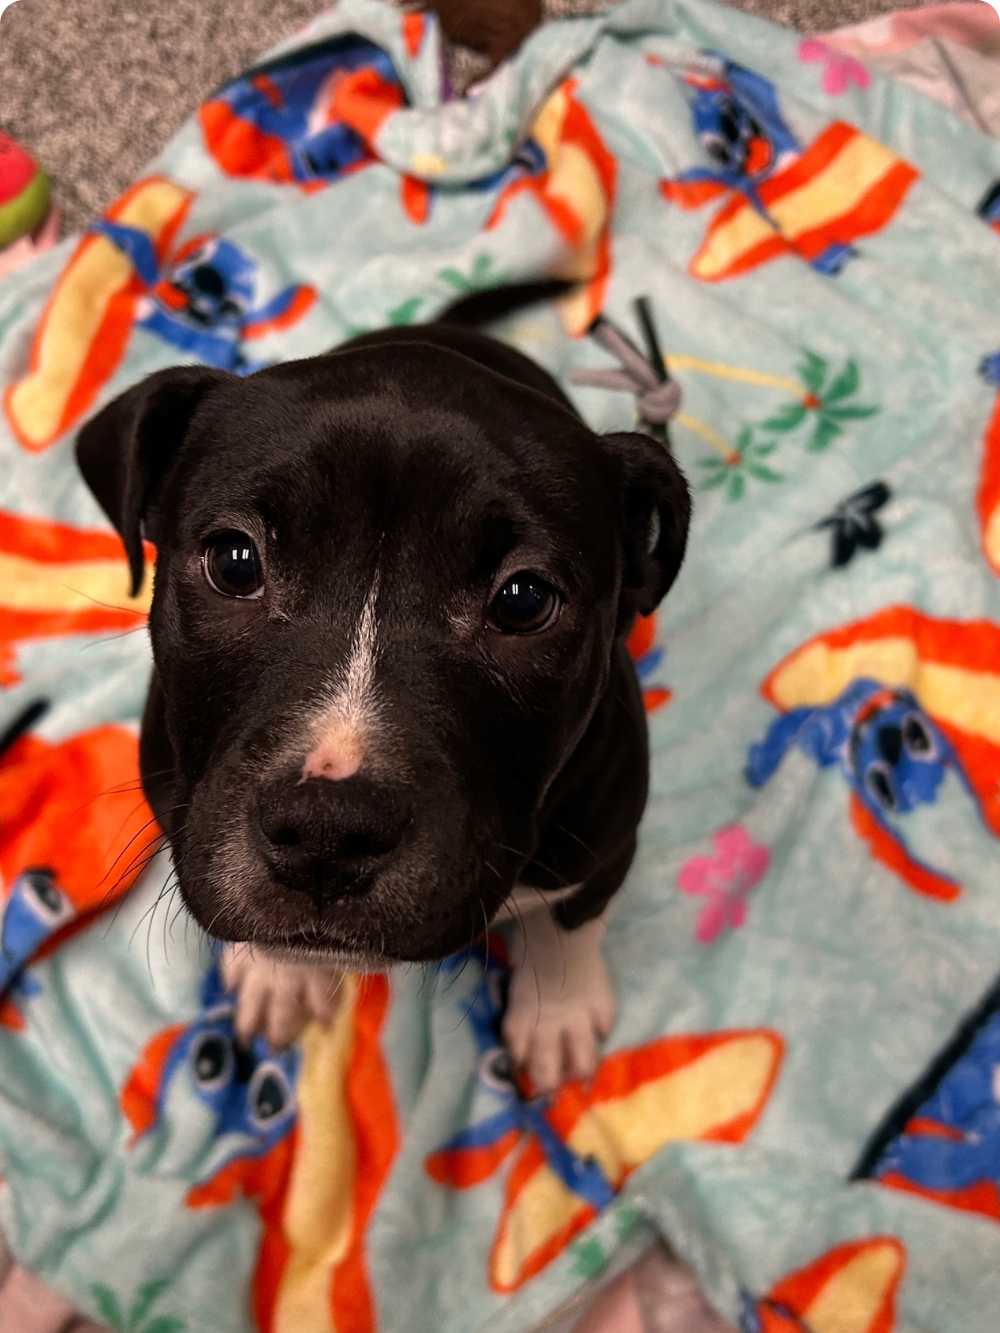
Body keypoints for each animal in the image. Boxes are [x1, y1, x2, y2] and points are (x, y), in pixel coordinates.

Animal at [76, 323, 690, 1091]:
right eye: (234, 562)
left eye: (524, 600)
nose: (326, 830)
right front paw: (278, 976)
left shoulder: (604, 839)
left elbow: (570, 924)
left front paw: (559, 1014)